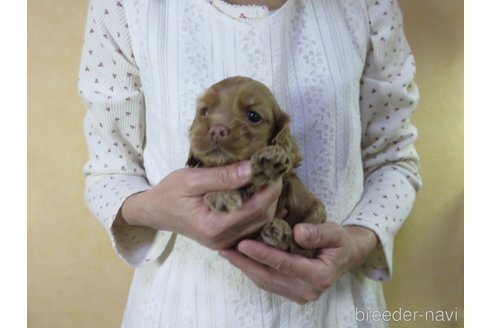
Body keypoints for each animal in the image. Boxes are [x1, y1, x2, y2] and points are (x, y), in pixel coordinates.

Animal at [186, 76, 324, 256]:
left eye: (253, 116)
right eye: (204, 112)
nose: (216, 130)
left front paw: (271, 161)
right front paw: (219, 195)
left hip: (316, 210)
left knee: (302, 250)